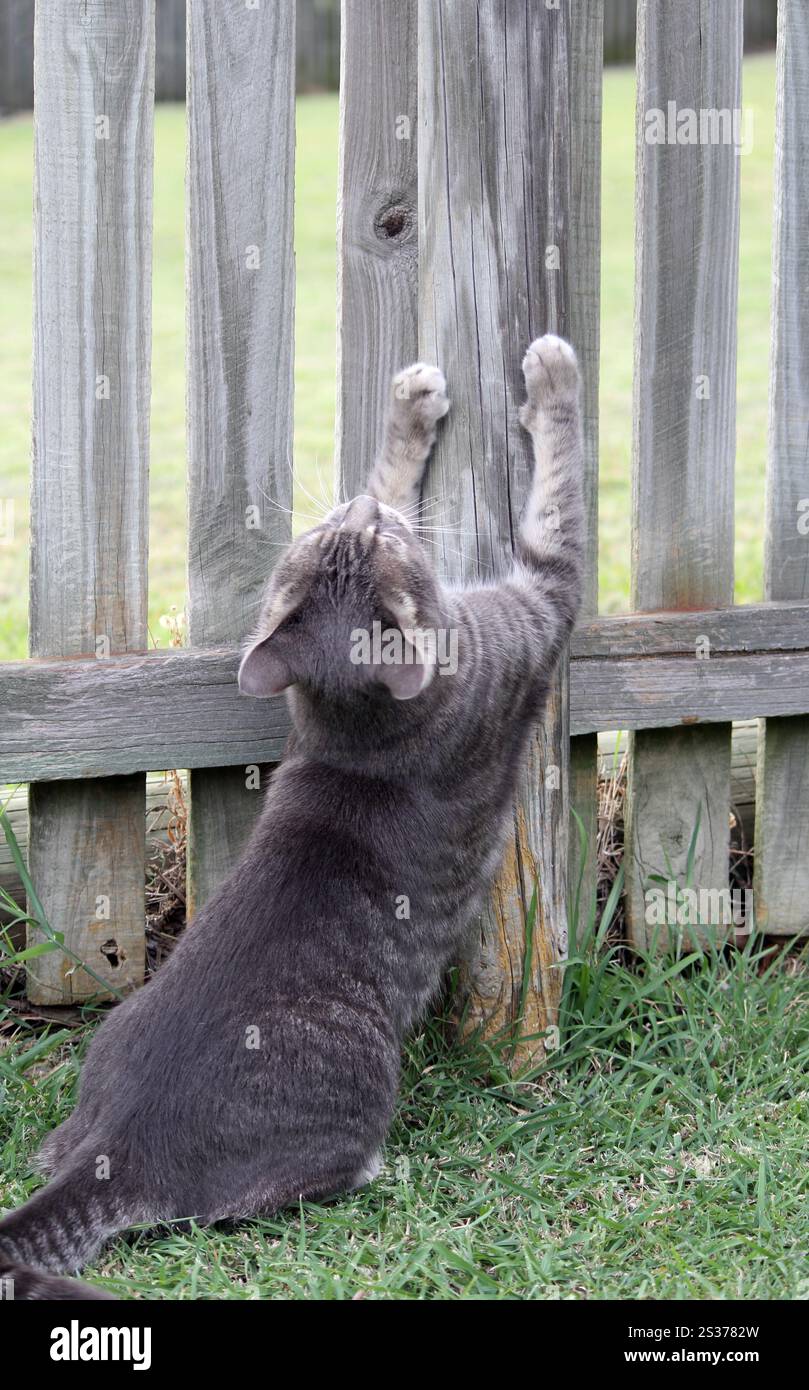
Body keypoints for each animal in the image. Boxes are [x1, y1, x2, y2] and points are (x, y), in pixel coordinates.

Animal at [0, 330, 583, 1295]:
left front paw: (408, 414)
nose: (357, 510)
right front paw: (544, 376)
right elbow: (558, 495)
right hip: (354, 1092)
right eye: (355, 536)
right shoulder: (539, 602)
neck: (359, 722)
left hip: (96, 1068)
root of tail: (118, 1147)